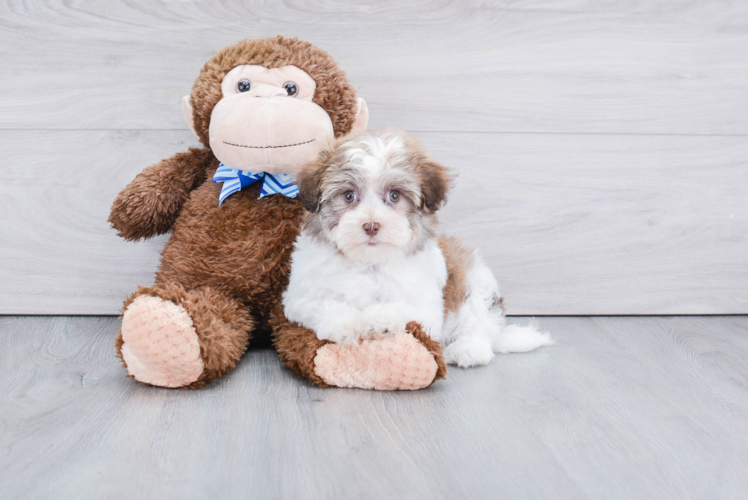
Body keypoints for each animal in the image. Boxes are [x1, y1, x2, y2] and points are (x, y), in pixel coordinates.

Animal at [280, 131, 548, 368]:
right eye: (348, 196)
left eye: (395, 196)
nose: (371, 225)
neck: (369, 262)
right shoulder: (299, 298)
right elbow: (325, 304)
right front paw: (345, 324)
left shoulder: (427, 308)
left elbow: (404, 307)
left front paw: (380, 318)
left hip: (475, 280)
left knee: (479, 322)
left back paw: (469, 349)